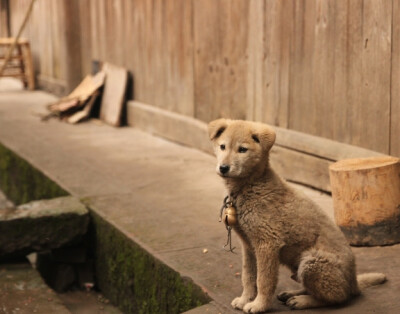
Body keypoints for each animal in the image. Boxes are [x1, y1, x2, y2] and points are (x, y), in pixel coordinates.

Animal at [208, 119, 386, 312]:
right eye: (222, 146)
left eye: (242, 149)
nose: (223, 168)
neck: (250, 186)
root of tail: (354, 283)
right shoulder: (249, 245)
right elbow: (248, 276)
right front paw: (244, 299)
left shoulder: (267, 244)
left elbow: (263, 280)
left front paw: (259, 305)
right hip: (300, 266)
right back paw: (292, 294)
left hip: (312, 262)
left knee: (337, 298)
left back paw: (302, 301)